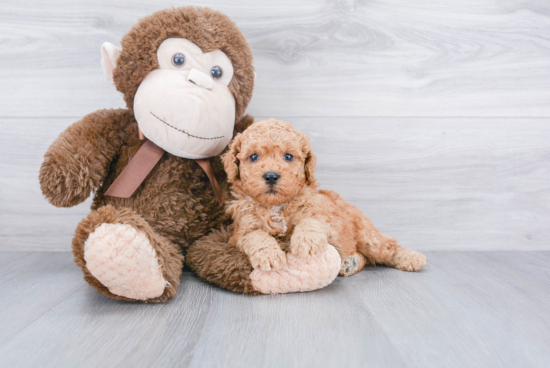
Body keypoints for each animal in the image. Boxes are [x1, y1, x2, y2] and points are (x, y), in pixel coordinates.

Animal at [222, 118, 430, 276]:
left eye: (288, 156)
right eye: (253, 157)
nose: (271, 176)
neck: (277, 206)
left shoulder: (327, 219)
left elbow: (311, 221)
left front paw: (306, 242)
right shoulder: (241, 231)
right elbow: (256, 236)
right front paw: (269, 256)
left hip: (367, 236)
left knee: (387, 247)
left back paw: (412, 258)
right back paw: (350, 263)